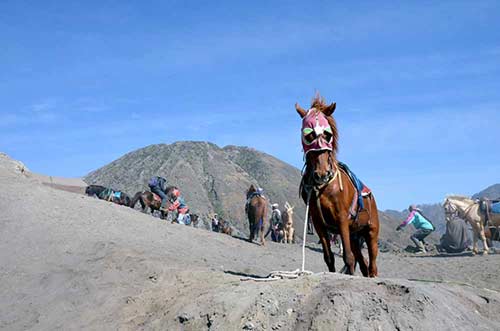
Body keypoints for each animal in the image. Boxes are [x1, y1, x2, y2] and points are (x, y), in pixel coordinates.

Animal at [296, 94, 378, 278]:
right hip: (355, 235)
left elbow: (348, 258)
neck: (324, 187)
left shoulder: (341, 220)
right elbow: (329, 258)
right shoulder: (319, 224)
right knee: (364, 264)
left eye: (327, 134)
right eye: (309, 135)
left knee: (372, 265)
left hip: (371, 232)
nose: (321, 174)